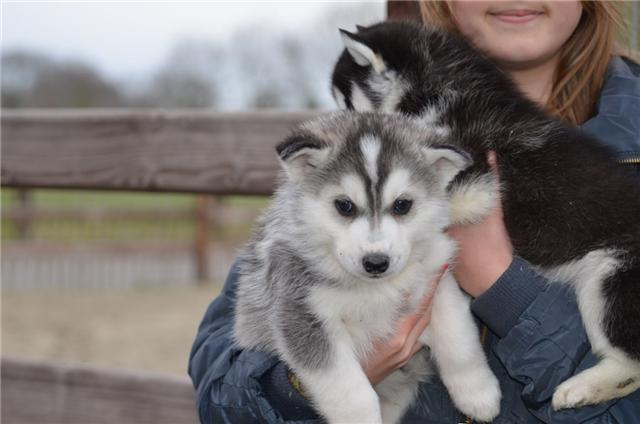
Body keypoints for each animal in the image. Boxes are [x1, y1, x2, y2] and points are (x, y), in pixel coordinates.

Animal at [232, 112, 502, 424]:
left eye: (402, 205)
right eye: (344, 205)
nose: (376, 262)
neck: (376, 288)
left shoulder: (437, 282)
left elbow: (459, 340)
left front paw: (479, 394)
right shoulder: (301, 314)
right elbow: (351, 391)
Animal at [332, 20, 640, 410]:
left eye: (347, 105)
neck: (439, 94)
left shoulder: (475, 178)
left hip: (610, 280)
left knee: (631, 364)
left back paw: (581, 388)